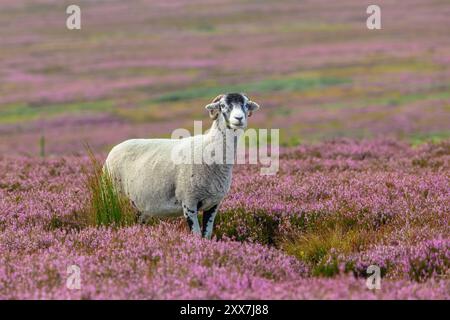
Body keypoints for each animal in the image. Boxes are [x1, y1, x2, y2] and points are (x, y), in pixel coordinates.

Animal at [105, 92, 260, 238]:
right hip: (116, 198)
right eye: (222, 105)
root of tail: (113, 150)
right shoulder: (189, 202)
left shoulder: (214, 204)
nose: (239, 119)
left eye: (246, 105)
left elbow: (207, 235)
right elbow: (196, 235)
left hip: (140, 207)